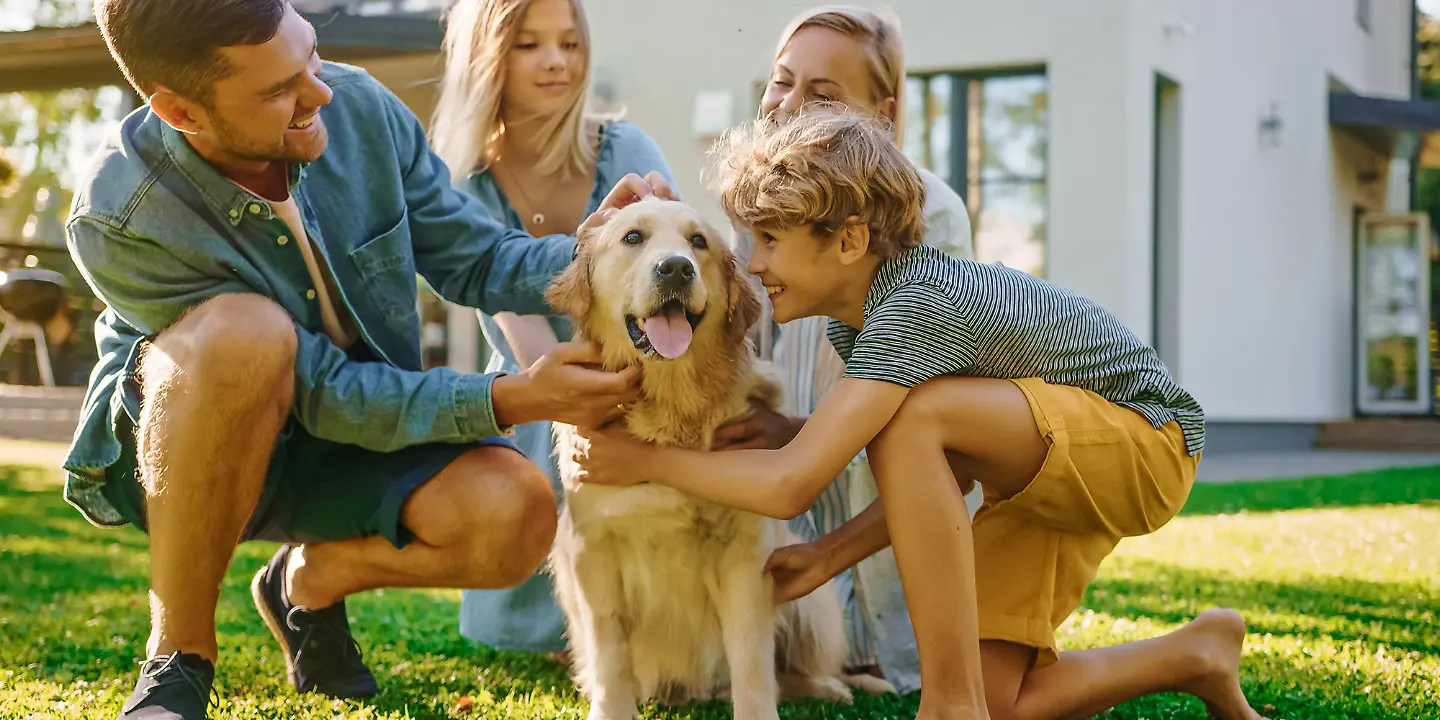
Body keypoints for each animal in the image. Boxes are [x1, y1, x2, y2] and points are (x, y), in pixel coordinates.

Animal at [547, 197, 892, 720]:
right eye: (633, 237)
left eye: (698, 242)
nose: (675, 267)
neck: (671, 407)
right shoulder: (593, 551)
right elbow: (610, 654)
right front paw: (613, 709)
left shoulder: (745, 555)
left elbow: (751, 658)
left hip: (814, 602)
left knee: (797, 668)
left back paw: (839, 686)